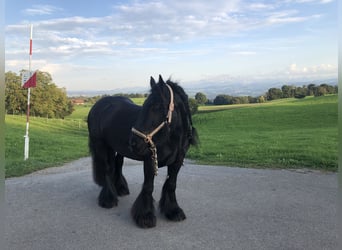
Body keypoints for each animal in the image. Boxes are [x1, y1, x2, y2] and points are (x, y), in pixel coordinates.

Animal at [87, 74, 198, 229]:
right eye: (144, 105)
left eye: (157, 106)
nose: (134, 143)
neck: (171, 137)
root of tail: (99, 105)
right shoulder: (150, 161)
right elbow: (148, 186)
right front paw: (145, 216)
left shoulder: (177, 162)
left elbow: (171, 184)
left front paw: (173, 211)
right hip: (101, 145)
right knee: (107, 169)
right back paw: (108, 199)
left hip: (118, 149)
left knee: (118, 165)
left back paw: (120, 189)